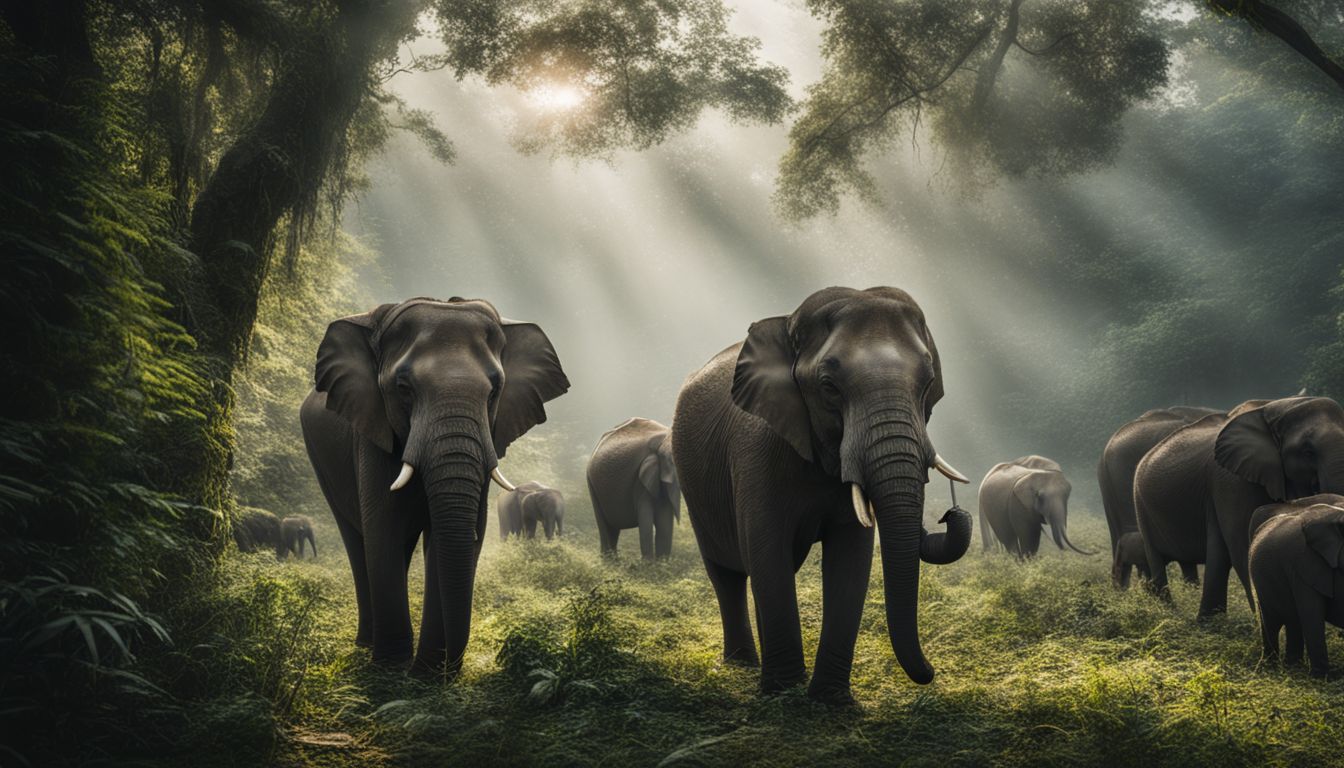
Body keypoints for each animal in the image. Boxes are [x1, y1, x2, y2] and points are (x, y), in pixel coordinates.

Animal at [300, 297, 569, 674]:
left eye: (495, 391)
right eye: (403, 388)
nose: (445, 669)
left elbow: (449, 536)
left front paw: (428, 674)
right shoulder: (372, 429)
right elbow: (384, 529)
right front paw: (392, 670)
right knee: (357, 539)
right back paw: (367, 645)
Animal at [587, 418, 680, 559]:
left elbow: (664, 525)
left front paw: (662, 564)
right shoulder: (640, 481)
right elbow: (646, 521)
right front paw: (648, 564)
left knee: (613, 530)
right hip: (592, 484)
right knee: (605, 528)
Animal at [671, 286, 972, 701]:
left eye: (927, 384)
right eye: (829, 387)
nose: (950, 516)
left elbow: (850, 558)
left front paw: (830, 701)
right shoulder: (757, 450)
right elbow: (768, 549)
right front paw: (783, 695)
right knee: (728, 572)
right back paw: (743, 666)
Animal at [1135, 396, 1344, 618]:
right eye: (1307, 452)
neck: (1275, 408)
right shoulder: (1230, 481)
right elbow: (1242, 546)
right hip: (1141, 506)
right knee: (1157, 560)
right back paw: (1170, 613)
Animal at [1248, 494, 1344, 677]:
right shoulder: (1304, 565)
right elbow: (1312, 615)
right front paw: (1322, 678)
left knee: (1293, 621)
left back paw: (1293, 668)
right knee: (1272, 622)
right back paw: (1272, 670)